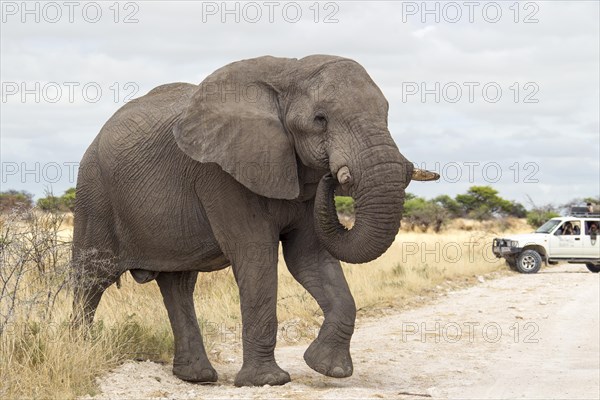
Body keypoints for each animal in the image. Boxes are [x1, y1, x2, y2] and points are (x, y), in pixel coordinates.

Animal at [72, 54, 438, 386]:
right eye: (320, 119)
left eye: (387, 115)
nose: (333, 175)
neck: (289, 73)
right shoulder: (223, 174)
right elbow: (256, 258)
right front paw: (268, 381)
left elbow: (310, 259)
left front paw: (328, 368)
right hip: (94, 192)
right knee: (91, 279)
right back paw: (81, 349)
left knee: (179, 284)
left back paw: (197, 377)